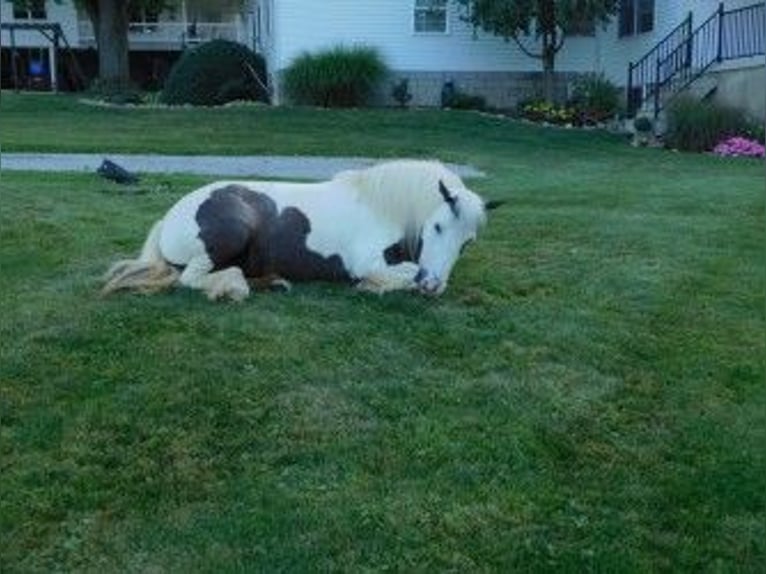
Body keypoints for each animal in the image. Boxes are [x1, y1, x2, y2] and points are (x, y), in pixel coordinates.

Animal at [103, 159, 504, 300]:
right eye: (436, 226)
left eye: (467, 243)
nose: (431, 285)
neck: (382, 206)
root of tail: (170, 218)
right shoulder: (368, 261)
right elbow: (397, 273)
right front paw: (375, 285)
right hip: (229, 234)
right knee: (193, 278)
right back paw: (233, 287)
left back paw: (271, 282)